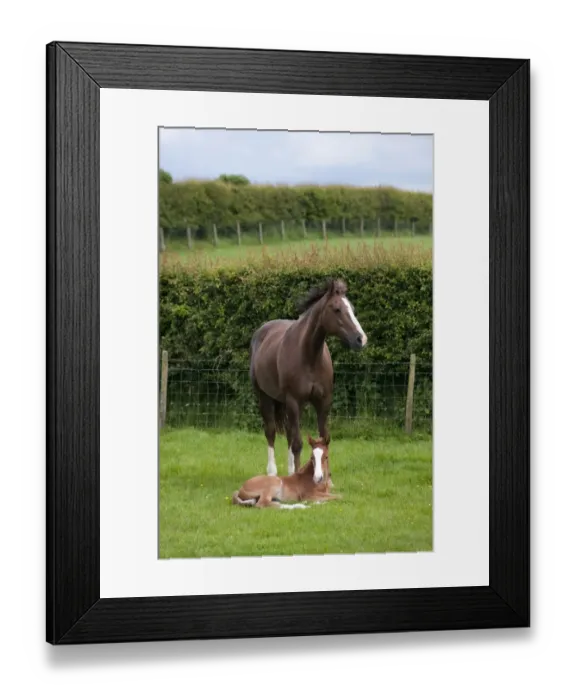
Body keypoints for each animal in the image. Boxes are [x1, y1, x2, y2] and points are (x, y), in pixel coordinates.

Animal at [249, 278, 367, 477]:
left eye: (352, 308)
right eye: (337, 309)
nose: (361, 339)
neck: (310, 356)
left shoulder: (323, 402)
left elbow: (322, 440)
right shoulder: (294, 401)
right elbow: (298, 444)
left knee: (288, 433)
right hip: (265, 397)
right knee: (271, 431)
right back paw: (272, 473)